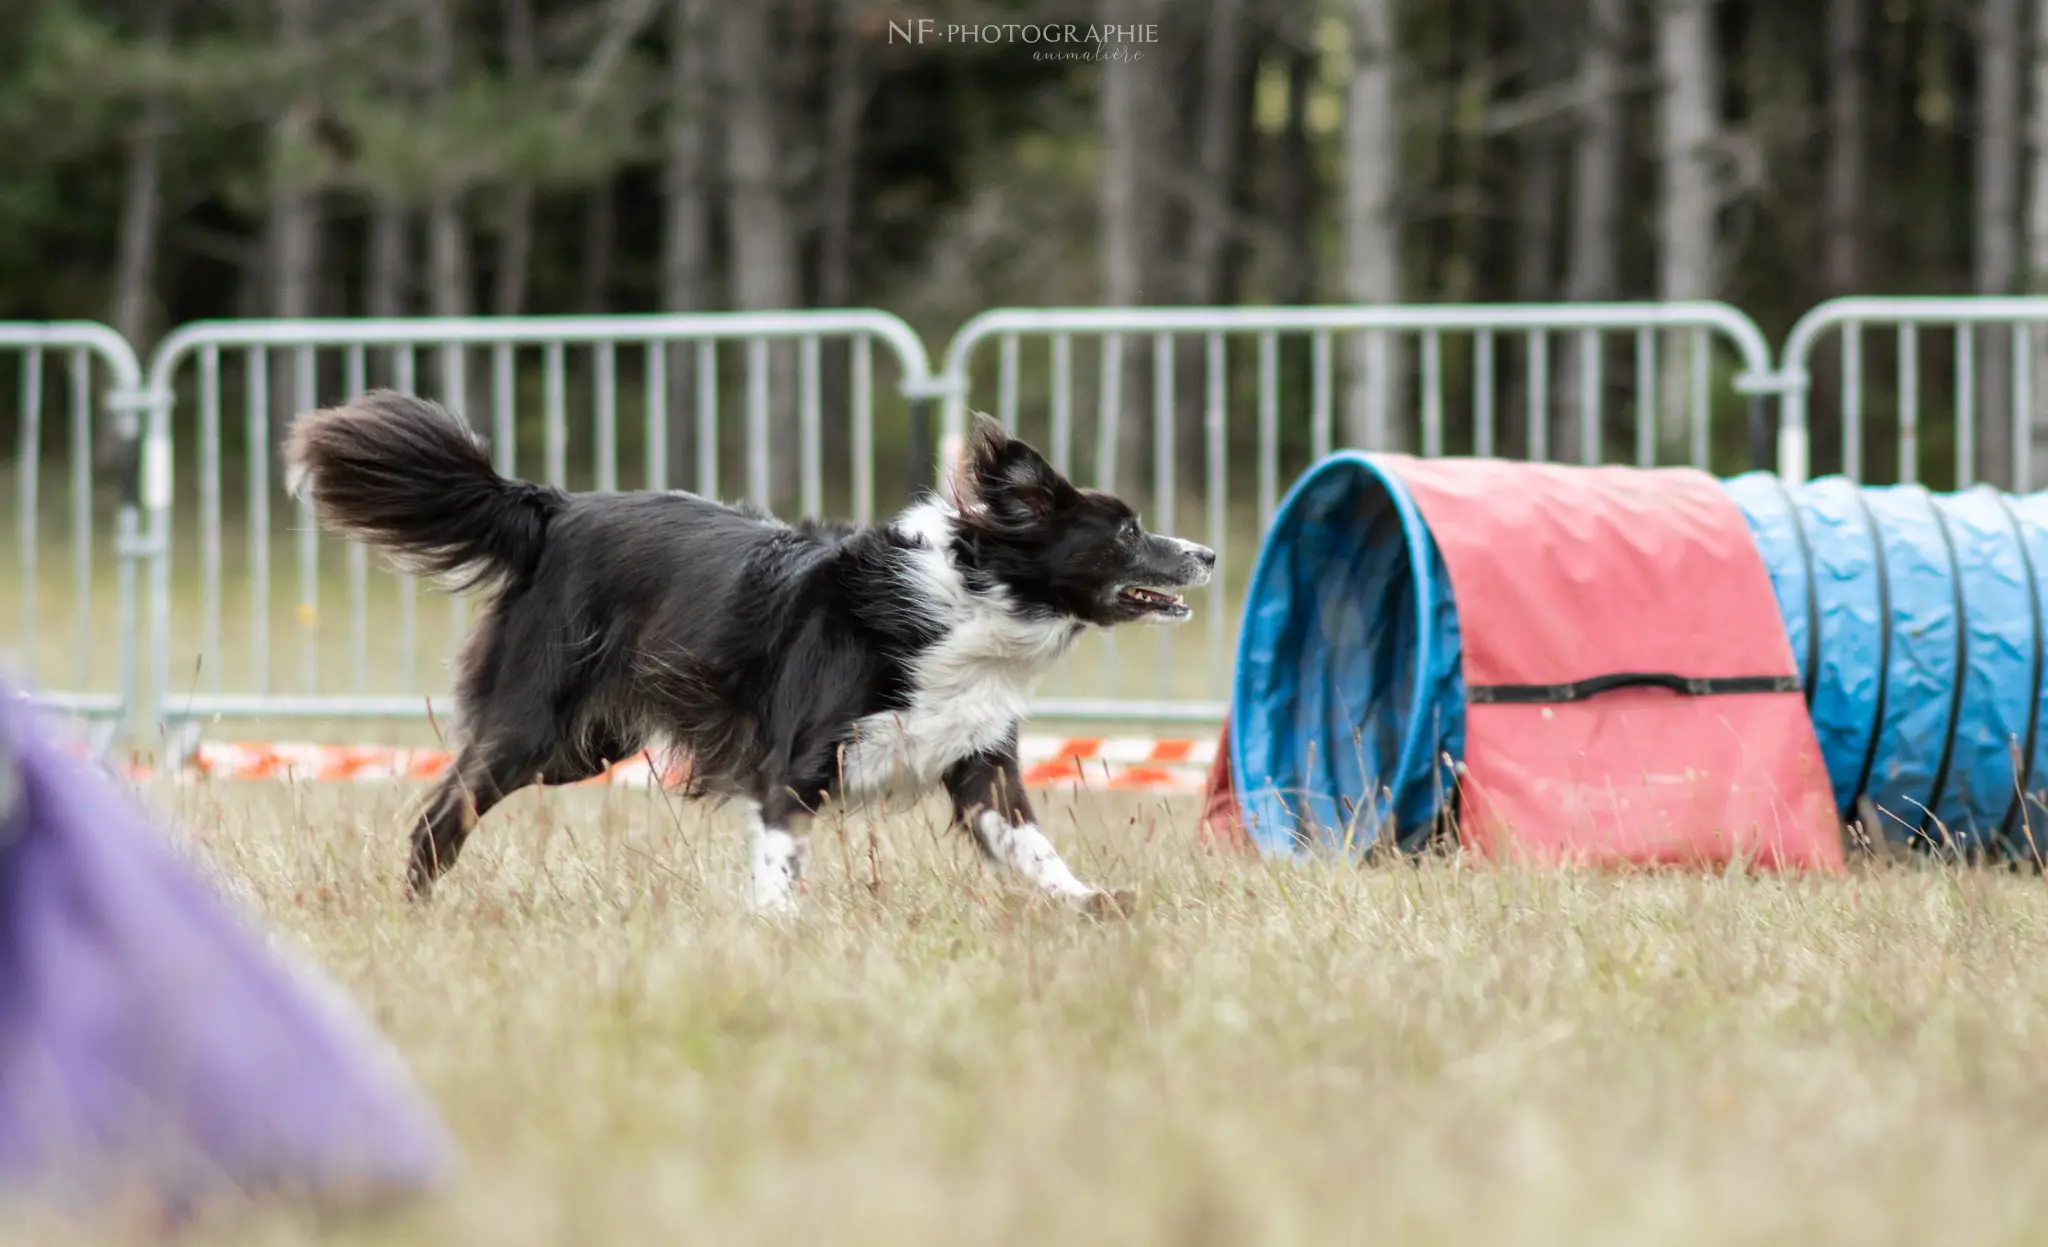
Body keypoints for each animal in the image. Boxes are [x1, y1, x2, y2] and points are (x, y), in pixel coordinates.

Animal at [288, 391, 1212, 913]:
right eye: (1126, 532)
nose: (1206, 552)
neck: (970, 602)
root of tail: (551, 507)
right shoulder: (794, 765)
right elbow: (780, 860)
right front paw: (780, 937)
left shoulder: (976, 757)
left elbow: (1030, 844)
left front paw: (1092, 902)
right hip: (531, 724)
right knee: (441, 811)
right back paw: (411, 910)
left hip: (585, 747)